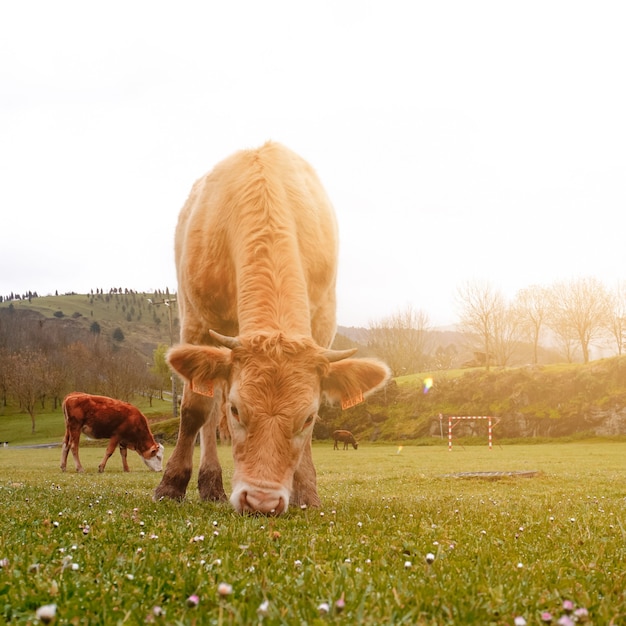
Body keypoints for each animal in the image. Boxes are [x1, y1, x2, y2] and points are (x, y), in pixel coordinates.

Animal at [155, 141, 390, 512]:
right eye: (237, 410)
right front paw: (171, 485)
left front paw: (306, 492)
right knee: (209, 409)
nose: (261, 502)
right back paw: (210, 482)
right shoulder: (194, 318)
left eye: (307, 417)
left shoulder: (323, 321)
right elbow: (194, 409)